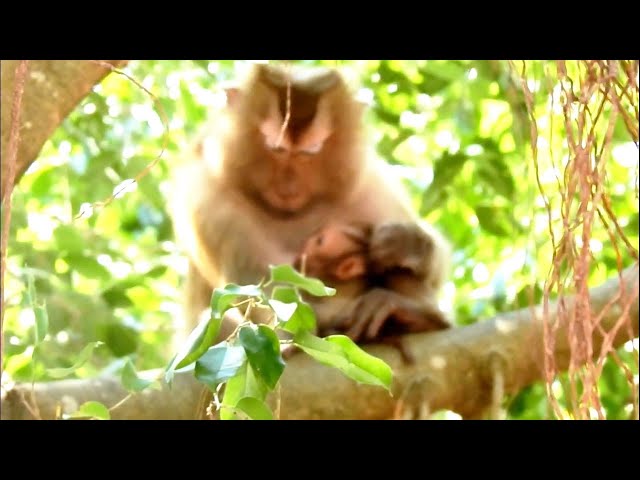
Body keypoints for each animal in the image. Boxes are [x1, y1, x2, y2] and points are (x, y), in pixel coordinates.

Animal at [170, 62, 450, 344]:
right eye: (277, 149)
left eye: (310, 151)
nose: (288, 189)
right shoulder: (207, 197)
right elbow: (262, 290)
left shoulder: (367, 182)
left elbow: (431, 273)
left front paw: (407, 242)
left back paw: (413, 314)